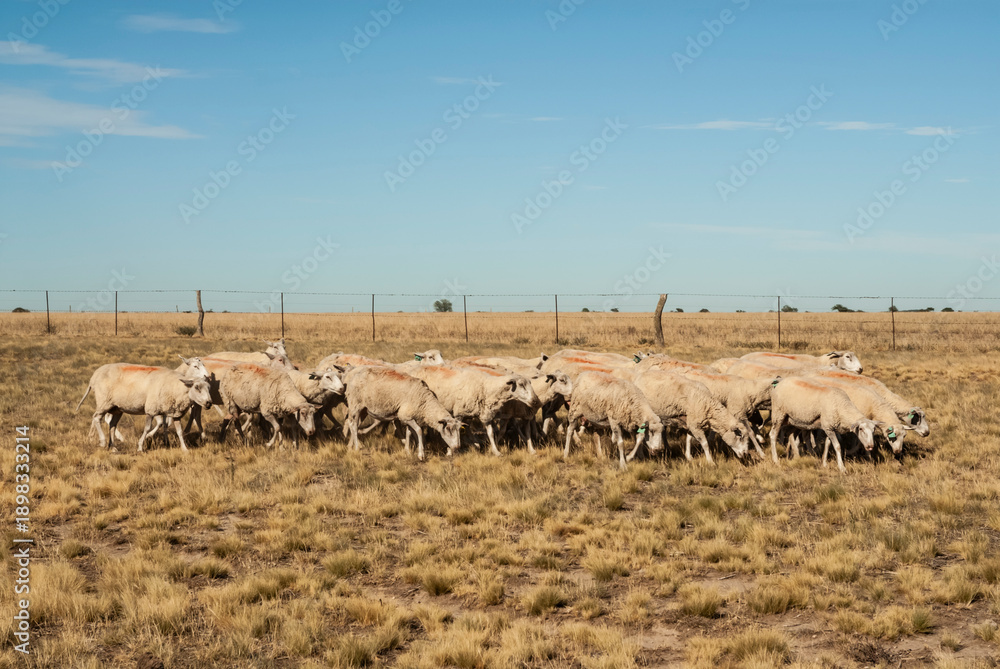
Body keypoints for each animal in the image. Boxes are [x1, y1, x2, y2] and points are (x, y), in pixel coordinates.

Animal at [76, 363, 213, 452]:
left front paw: (184, 449)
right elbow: (147, 428)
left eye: (209, 388)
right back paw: (103, 441)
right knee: (96, 418)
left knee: (112, 425)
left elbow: (179, 431)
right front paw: (140, 446)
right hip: (104, 402)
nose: (209, 403)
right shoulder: (151, 410)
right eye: (197, 387)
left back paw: (113, 447)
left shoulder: (175, 412)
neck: (175, 386)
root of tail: (94, 376)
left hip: (116, 408)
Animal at [403, 364, 535, 456]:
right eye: (521, 384)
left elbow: (490, 433)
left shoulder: (479, 413)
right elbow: (457, 431)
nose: (534, 400)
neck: (486, 387)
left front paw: (494, 451)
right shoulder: (458, 413)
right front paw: (451, 450)